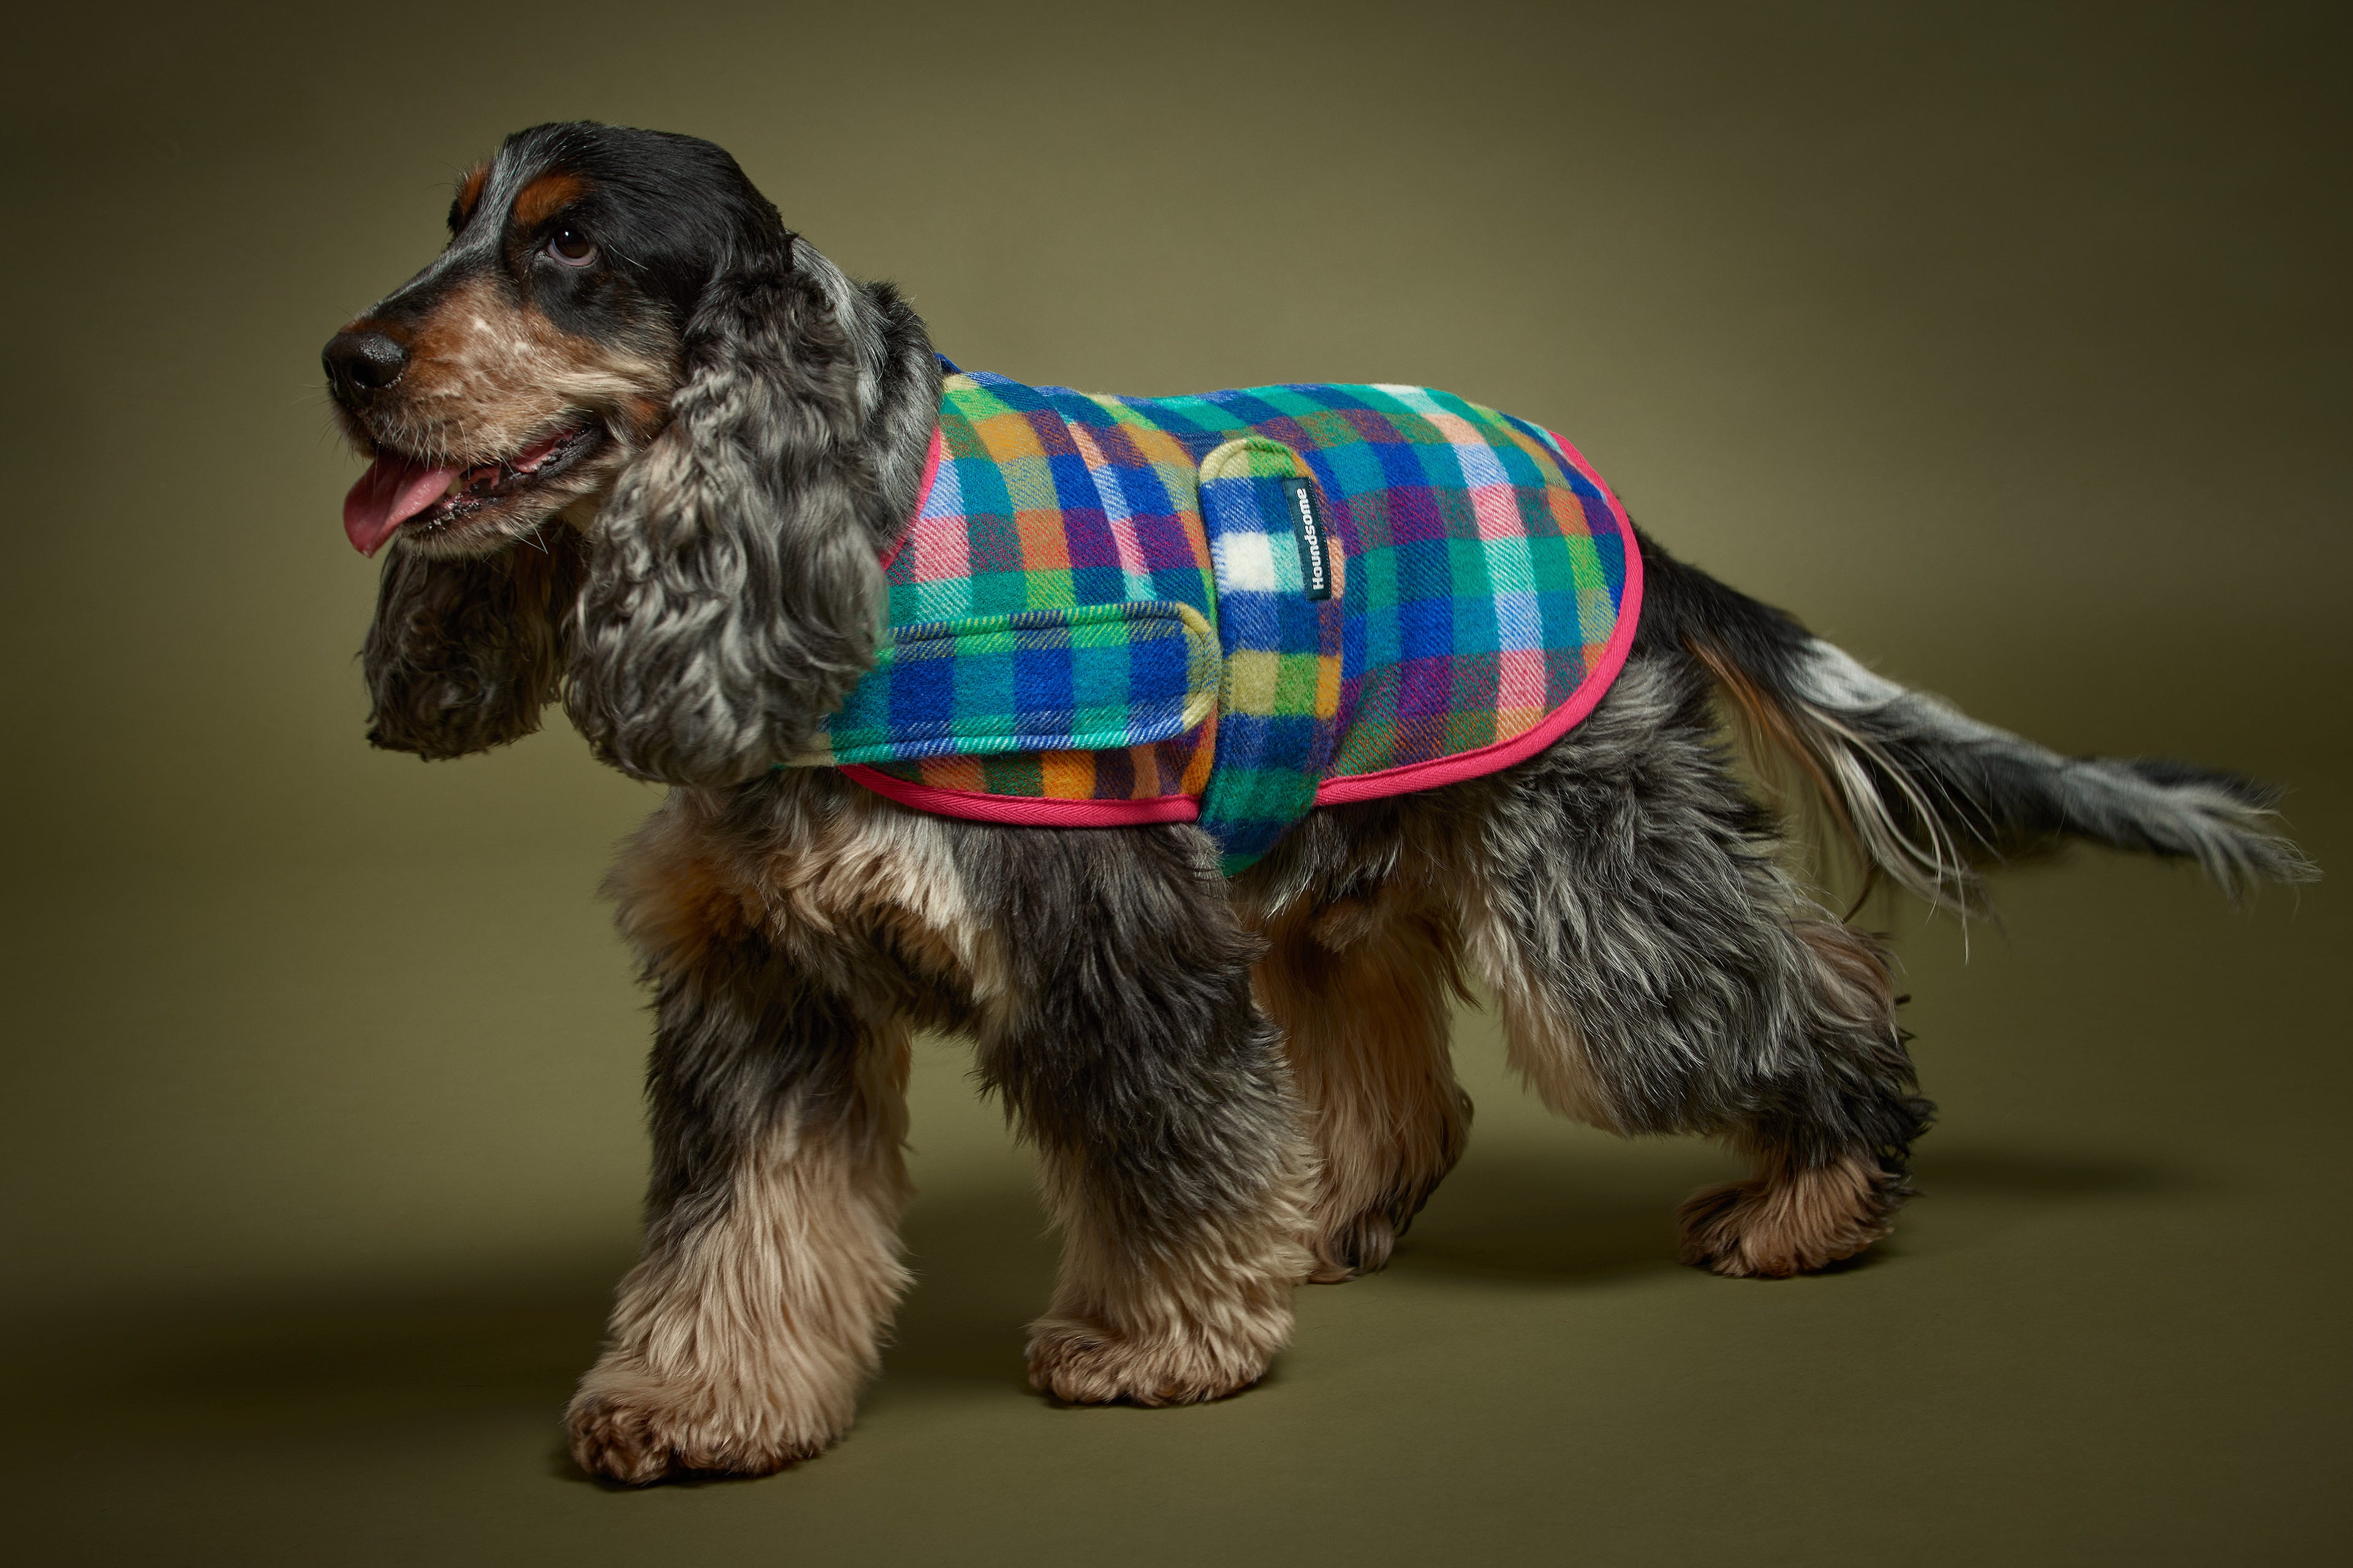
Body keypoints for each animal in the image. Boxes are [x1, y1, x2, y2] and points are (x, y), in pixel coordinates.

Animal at [327, 122, 2315, 1478]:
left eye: (571, 250)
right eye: (455, 226)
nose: (345, 359)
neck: (839, 523)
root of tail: (1606, 494)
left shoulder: (1105, 934)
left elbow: (1153, 1147)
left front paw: (1159, 1346)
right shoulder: (766, 982)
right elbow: (740, 1222)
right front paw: (696, 1401)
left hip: (1585, 874)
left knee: (1803, 983)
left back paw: (1816, 1197)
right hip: (1349, 874)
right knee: (1404, 1080)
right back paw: (1331, 1217)